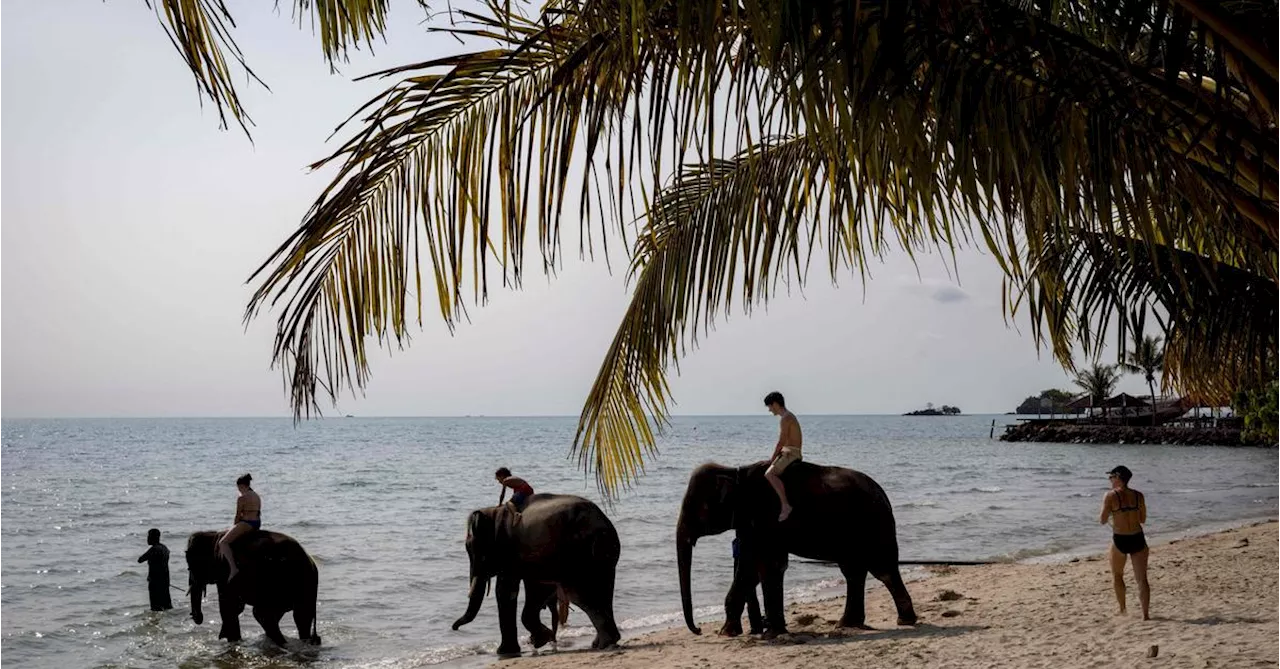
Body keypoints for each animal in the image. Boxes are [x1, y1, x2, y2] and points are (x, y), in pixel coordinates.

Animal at [186, 532, 322, 647]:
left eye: (190, 568)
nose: (197, 617)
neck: (214, 535)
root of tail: (311, 563)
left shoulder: (227, 573)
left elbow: (229, 607)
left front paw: (233, 641)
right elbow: (235, 607)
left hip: (280, 584)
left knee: (263, 614)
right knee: (299, 617)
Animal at [453, 493, 622, 654]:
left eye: (471, 549)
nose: (455, 628)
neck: (494, 511)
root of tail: (603, 523)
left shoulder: (511, 551)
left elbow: (505, 591)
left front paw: (522, 646)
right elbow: (528, 590)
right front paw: (539, 640)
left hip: (579, 555)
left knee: (582, 596)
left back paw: (606, 643)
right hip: (603, 556)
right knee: (603, 591)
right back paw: (601, 643)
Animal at [675, 460, 916, 639]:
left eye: (694, 508)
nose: (699, 630)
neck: (735, 471)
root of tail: (884, 495)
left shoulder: (766, 518)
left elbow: (759, 565)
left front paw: (731, 632)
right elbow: (763, 566)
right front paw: (768, 631)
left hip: (874, 526)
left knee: (882, 569)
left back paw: (903, 620)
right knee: (853, 571)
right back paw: (847, 624)